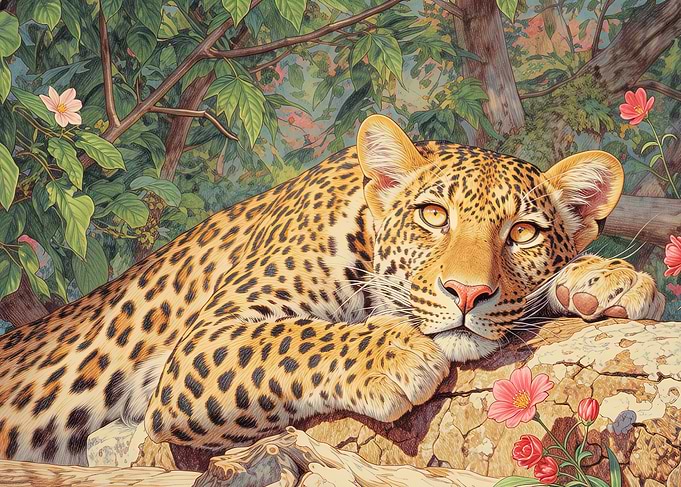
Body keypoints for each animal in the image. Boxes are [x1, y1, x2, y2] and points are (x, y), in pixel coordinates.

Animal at [0, 114, 665, 467]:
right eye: (433, 216)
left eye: (523, 232)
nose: (466, 293)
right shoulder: (207, 339)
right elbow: (296, 338)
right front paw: (395, 353)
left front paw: (607, 278)